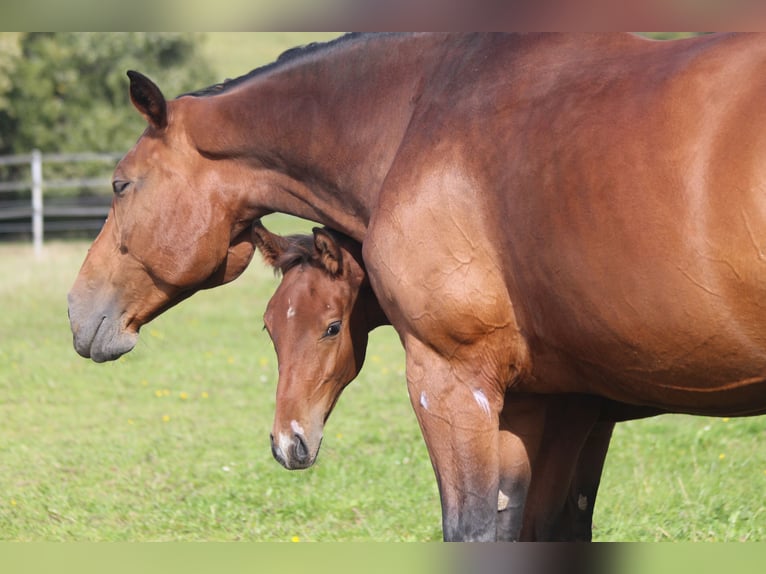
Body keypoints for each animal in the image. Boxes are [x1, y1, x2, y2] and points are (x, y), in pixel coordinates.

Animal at [68, 33, 766, 541]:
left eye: (121, 185)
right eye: (269, 330)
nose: (77, 312)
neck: (414, 122)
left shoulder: (460, 386)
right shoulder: (548, 408)